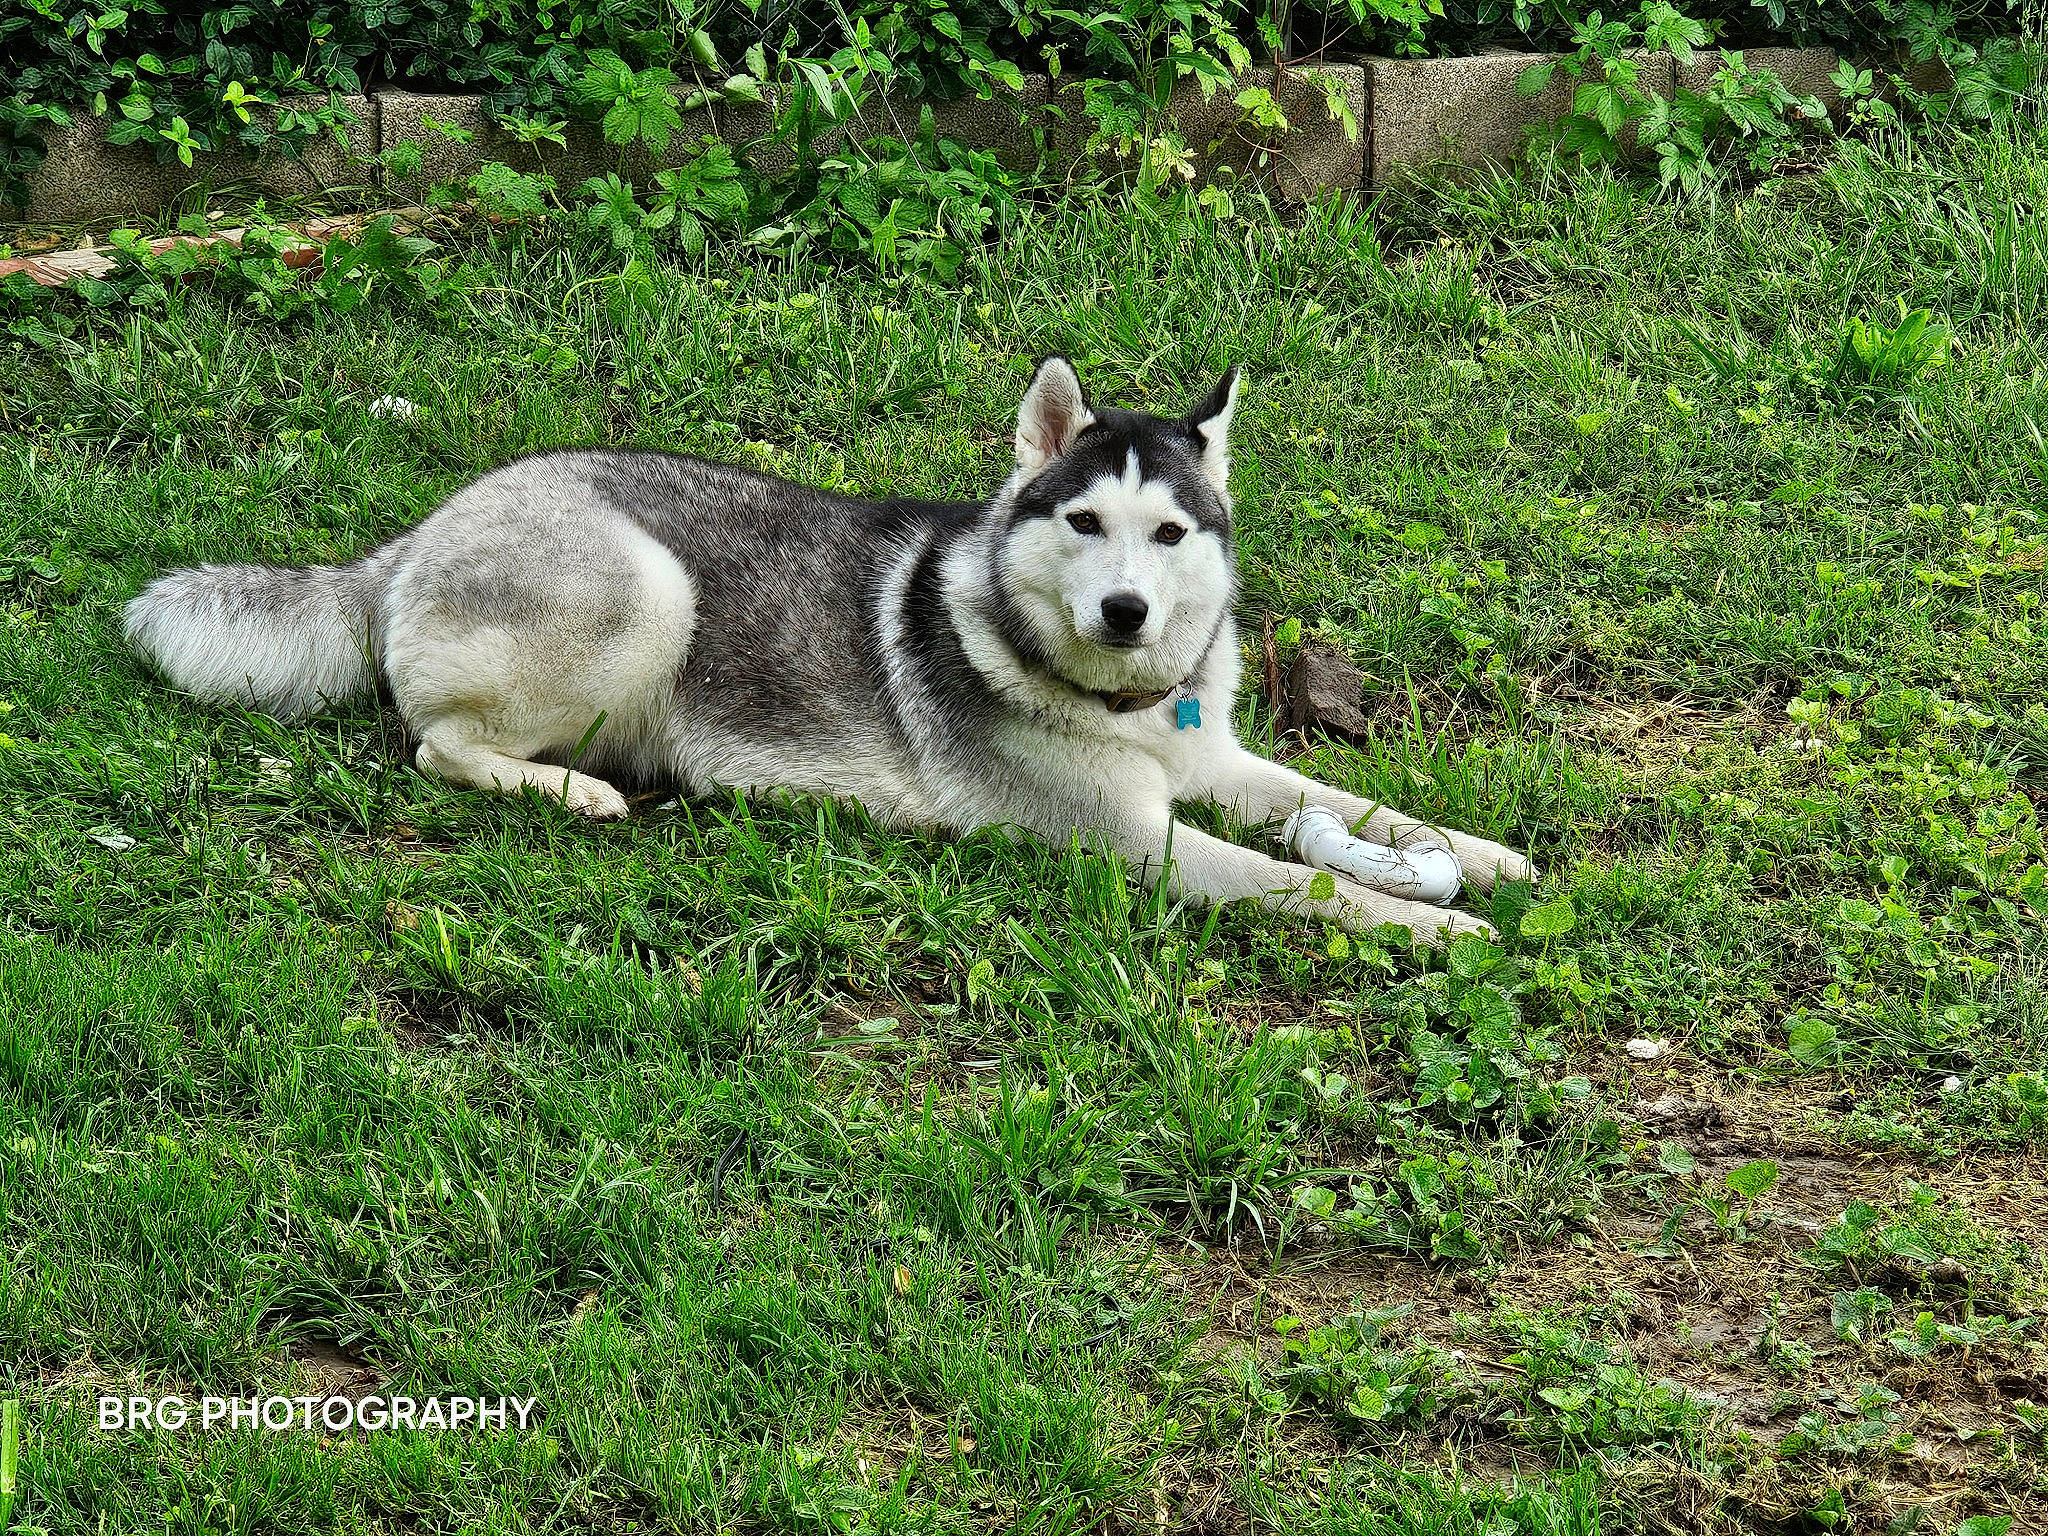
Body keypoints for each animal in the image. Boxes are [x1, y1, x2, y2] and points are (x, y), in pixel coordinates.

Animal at [125, 358, 1532, 944]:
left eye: (1169, 533)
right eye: (1083, 523)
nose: (1126, 613)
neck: (1121, 701)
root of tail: (415, 534)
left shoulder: (1214, 767)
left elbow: (1351, 809)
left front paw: (1481, 859)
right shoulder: (1142, 848)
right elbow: (1303, 882)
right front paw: (1430, 927)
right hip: (652, 596)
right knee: (434, 746)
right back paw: (573, 789)